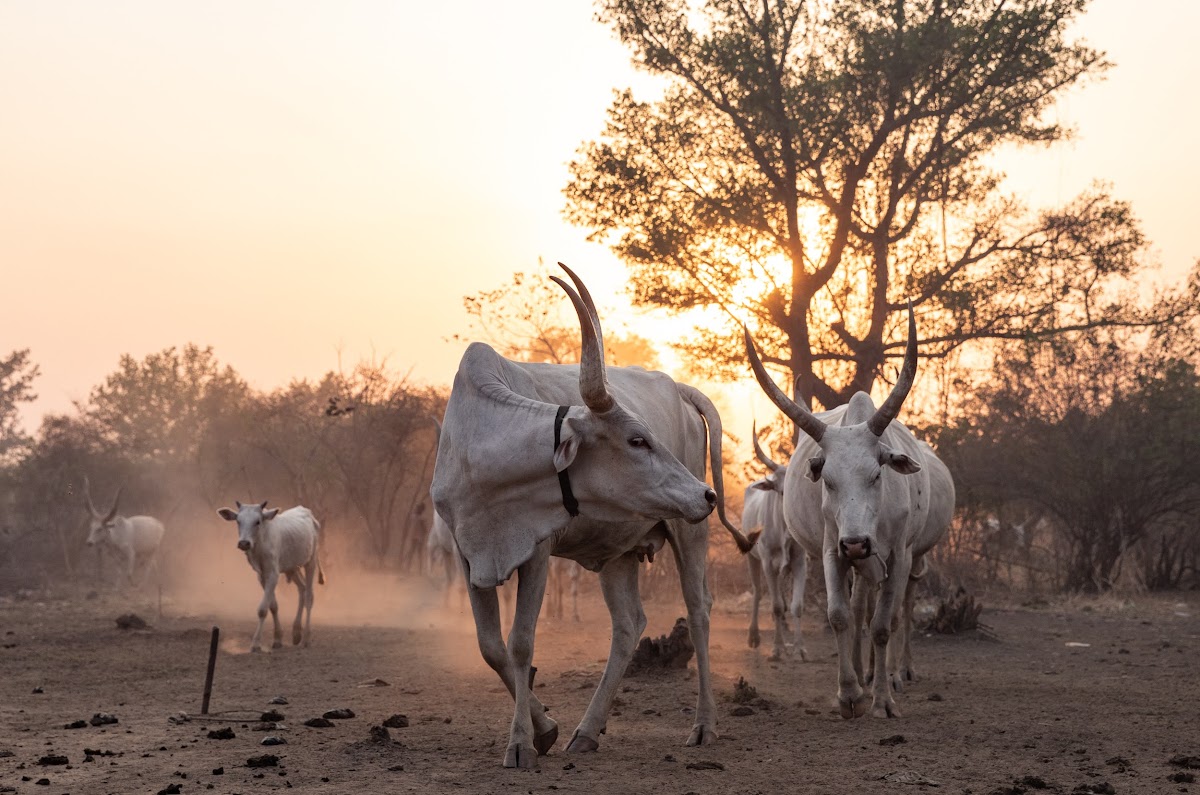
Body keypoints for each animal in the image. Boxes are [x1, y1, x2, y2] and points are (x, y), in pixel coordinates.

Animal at [217, 504, 326, 653]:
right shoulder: (262, 576)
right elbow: (273, 606)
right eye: (238, 521)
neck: (260, 544)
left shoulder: (273, 574)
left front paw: (256, 644)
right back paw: (296, 632)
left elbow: (263, 609)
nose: (244, 543)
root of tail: (307, 512)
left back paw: (306, 638)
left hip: (311, 562)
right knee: (302, 590)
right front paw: (277, 639)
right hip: (292, 567)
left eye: (257, 521)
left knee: (309, 596)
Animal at [429, 264, 748, 768]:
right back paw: (587, 730)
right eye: (637, 440)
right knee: (629, 624)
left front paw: (520, 743)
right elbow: (491, 646)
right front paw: (545, 729)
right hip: (620, 550)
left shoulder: (538, 550)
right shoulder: (469, 554)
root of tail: (678, 387)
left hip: (686, 531)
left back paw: (704, 725)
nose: (710, 495)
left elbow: (521, 642)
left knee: (699, 609)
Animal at [744, 427, 811, 662]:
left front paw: (799, 649)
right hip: (752, 558)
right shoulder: (767, 563)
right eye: (781, 490)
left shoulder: (800, 563)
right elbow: (775, 606)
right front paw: (777, 648)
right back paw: (754, 636)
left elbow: (796, 606)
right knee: (757, 592)